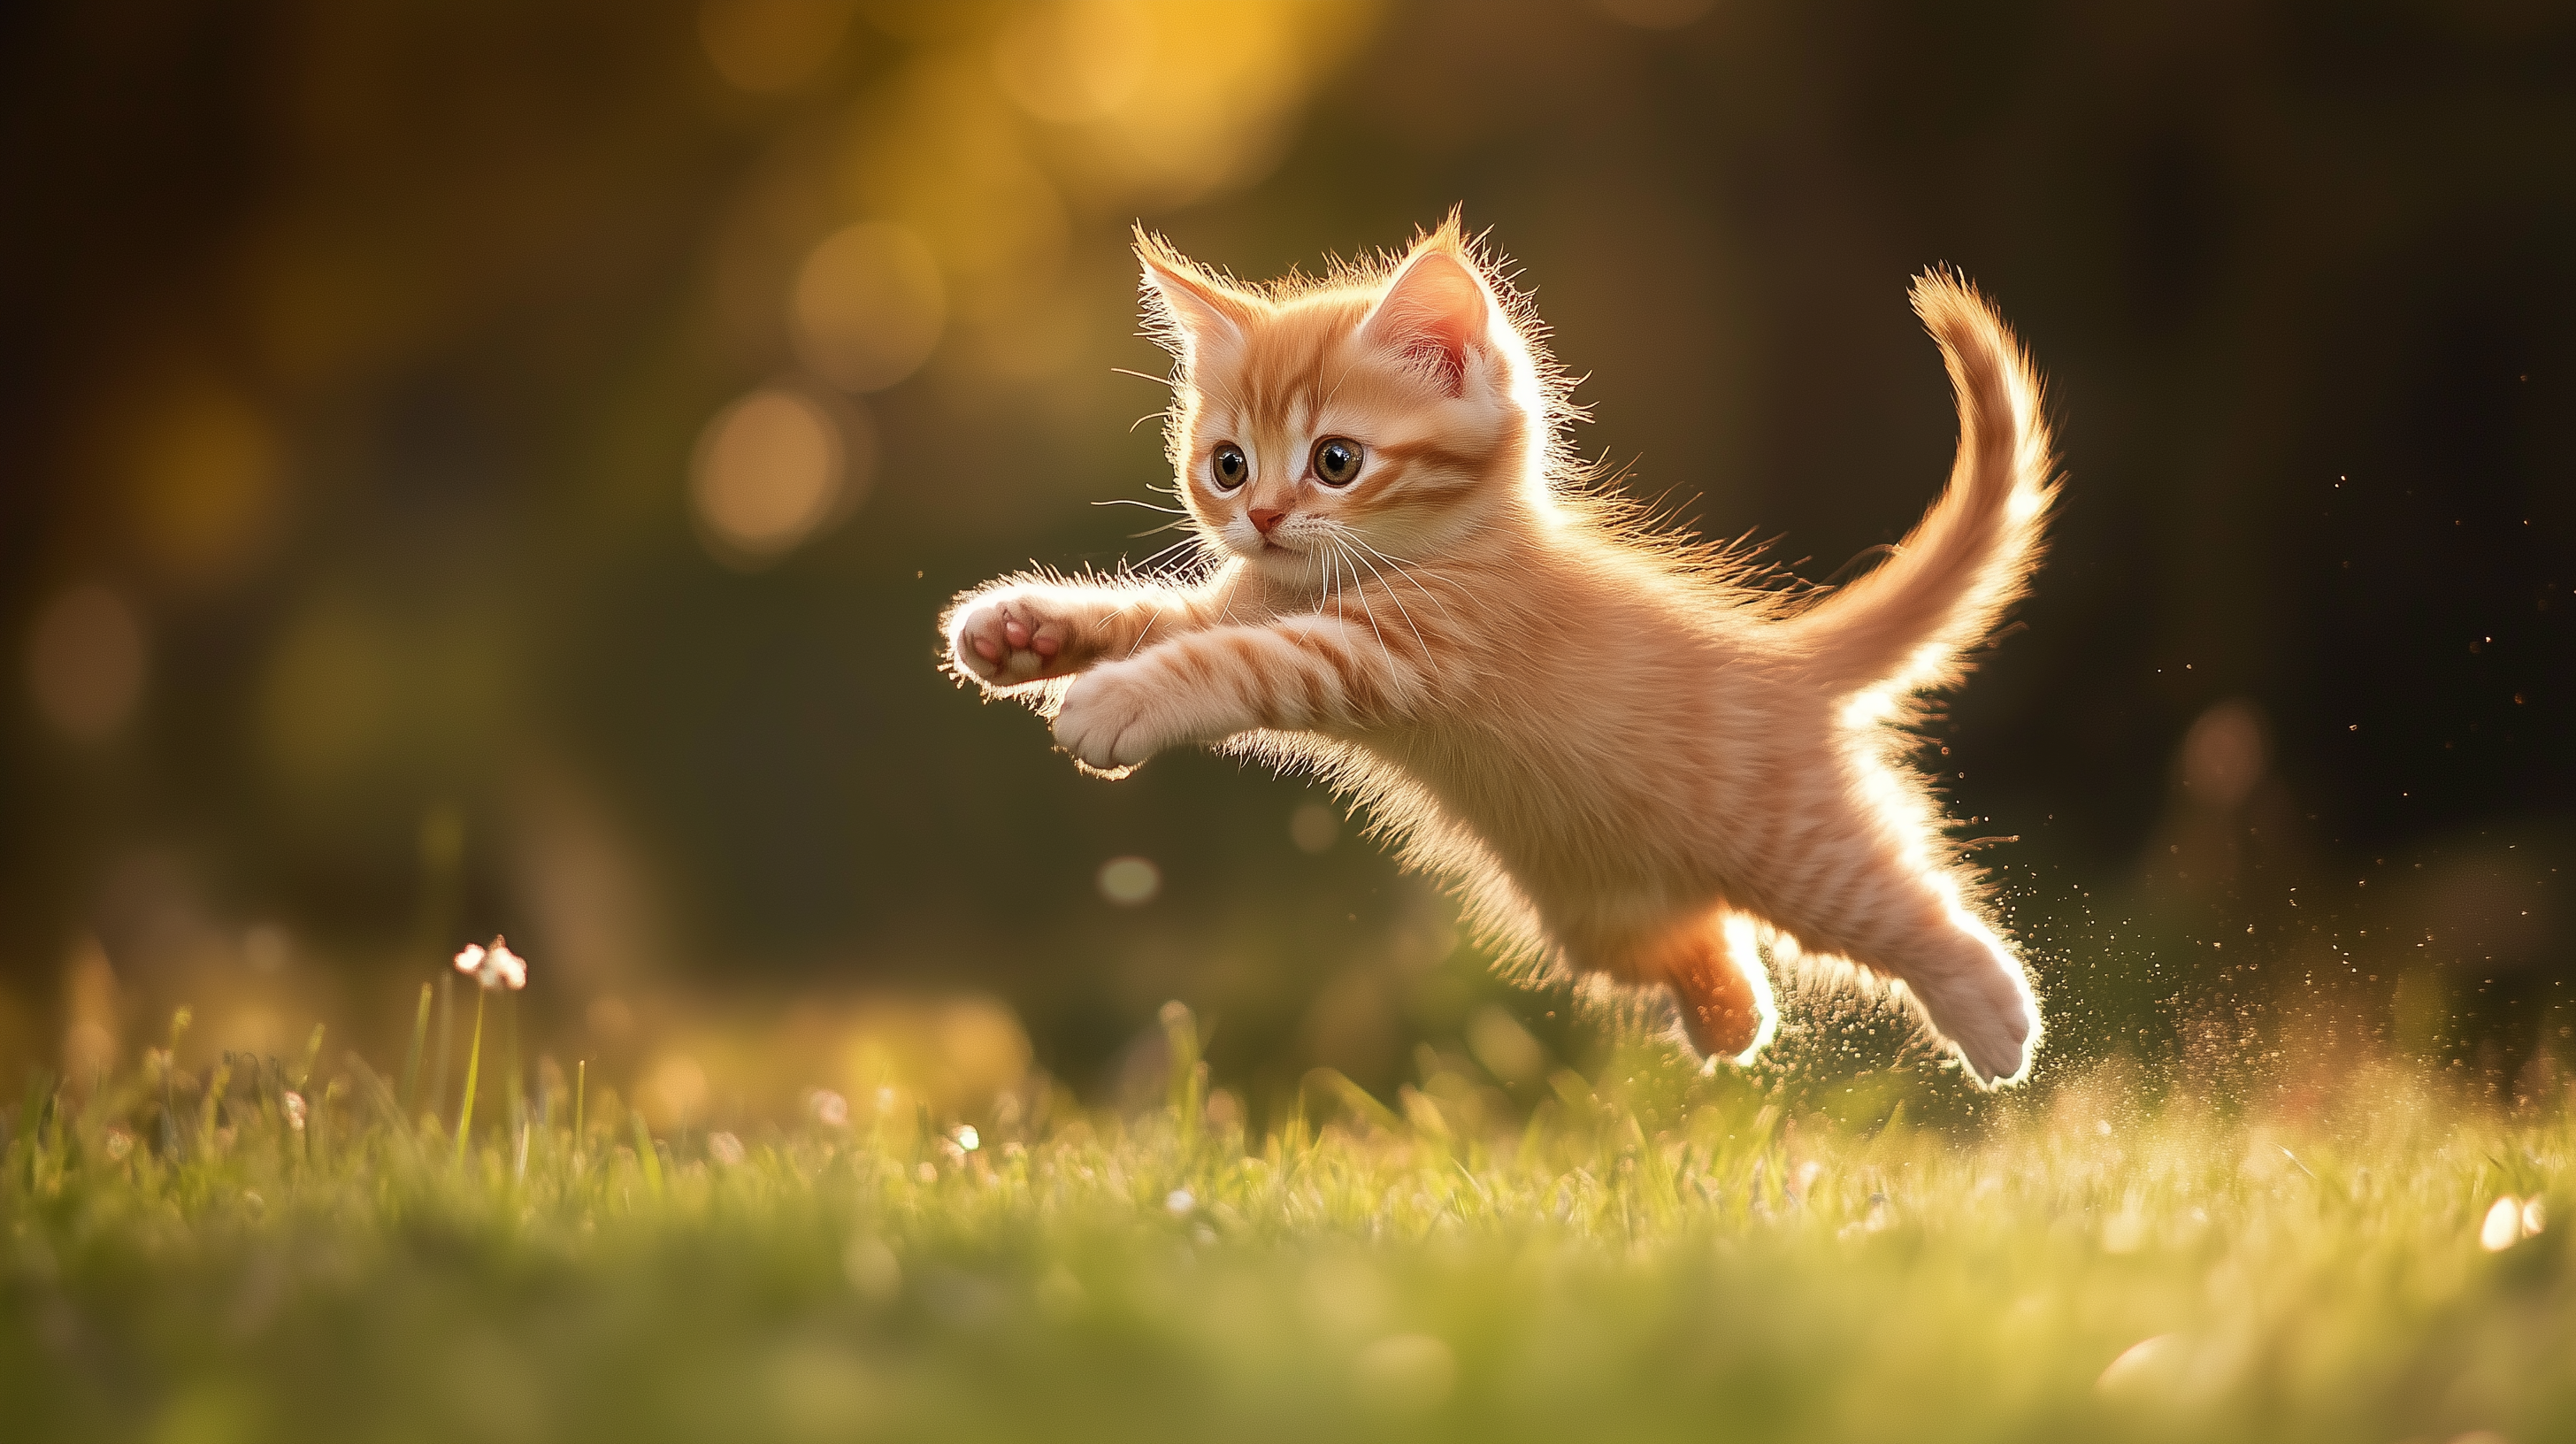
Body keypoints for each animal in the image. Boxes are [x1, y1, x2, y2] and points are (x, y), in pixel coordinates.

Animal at [947, 216, 2050, 1083]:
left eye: (1335, 462)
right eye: (1226, 465)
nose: (1259, 514)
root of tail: (1778, 660)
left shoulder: (1398, 649)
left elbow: (1230, 663)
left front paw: (1114, 703)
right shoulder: (1249, 603)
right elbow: (1162, 623)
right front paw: (1021, 633)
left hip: (1793, 846)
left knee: (1903, 906)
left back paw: (1992, 1017)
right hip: (1602, 918)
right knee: (1714, 955)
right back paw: (1730, 1023)